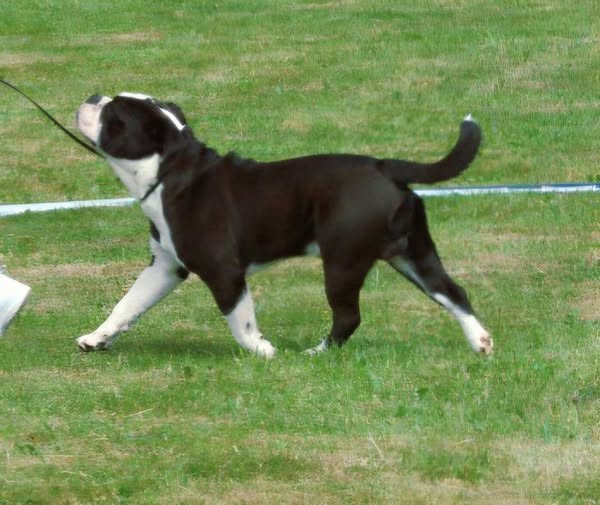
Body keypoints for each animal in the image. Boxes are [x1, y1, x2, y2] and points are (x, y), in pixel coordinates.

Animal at [75, 92, 493, 358]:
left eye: (114, 114)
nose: (93, 96)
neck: (172, 171)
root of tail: (385, 166)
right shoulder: (165, 266)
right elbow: (128, 304)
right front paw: (97, 338)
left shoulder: (223, 271)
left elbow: (239, 319)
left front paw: (263, 351)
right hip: (413, 254)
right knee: (452, 292)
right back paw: (481, 343)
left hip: (342, 262)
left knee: (348, 316)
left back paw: (316, 353)